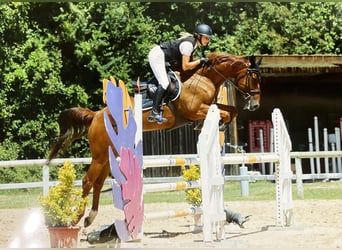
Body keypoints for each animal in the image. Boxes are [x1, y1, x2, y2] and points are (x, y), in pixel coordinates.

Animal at [46, 52, 262, 227]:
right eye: (252, 78)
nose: (255, 105)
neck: (204, 78)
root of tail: (96, 115)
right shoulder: (194, 110)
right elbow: (223, 113)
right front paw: (214, 124)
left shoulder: (210, 106)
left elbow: (231, 111)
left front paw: (219, 124)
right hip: (99, 155)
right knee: (87, 181)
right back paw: (75, 218)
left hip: (108, 155)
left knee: (98, 183)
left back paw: (90, 217)